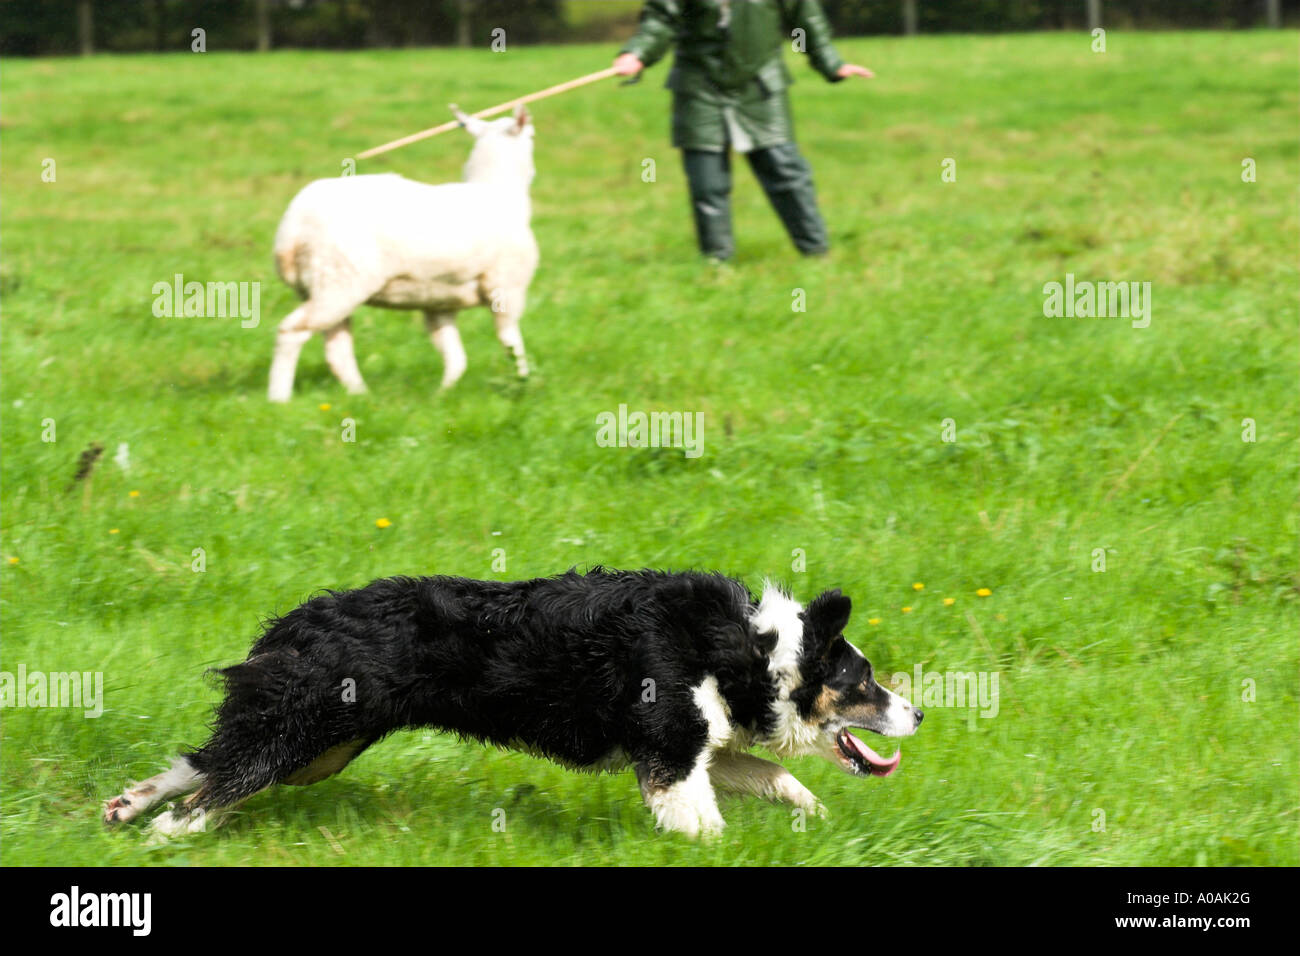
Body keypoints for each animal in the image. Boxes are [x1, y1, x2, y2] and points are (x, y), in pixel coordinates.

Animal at [269, 102, 538, 403]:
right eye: (532, 135)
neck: (497, 190)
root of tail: (293, 228)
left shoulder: (439, 303)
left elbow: (456, 357)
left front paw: (442, 394)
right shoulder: (506, 289)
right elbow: (511, 343)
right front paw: (523, 383)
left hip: (321, 288)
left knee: (337, 349)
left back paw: (362, 395)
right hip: (338, 283)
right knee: (291, 332)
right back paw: (278, 398)